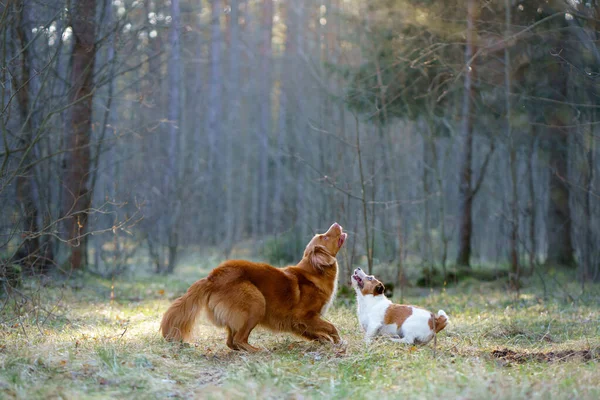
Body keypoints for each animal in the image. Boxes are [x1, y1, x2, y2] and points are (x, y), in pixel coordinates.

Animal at [159, 223, 346, 352]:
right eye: (325, 237)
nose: (336, 224)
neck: (314, 272)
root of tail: (212, 277)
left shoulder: (298, 323)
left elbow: (316, 333)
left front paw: (325, 341)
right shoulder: (304, 316)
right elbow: (331, 327)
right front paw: (338, 342)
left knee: (231, 341)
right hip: (256, 303)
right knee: (239, 339)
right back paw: (257, 350)